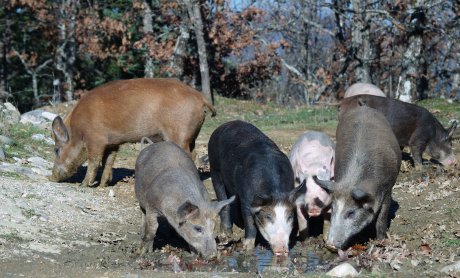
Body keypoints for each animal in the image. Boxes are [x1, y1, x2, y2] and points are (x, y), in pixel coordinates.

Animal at [50, 78, 216, 187]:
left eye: (56, 150)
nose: (51, 177)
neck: (78, 131)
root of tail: (201, 97)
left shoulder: (95, 140)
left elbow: (94, 161)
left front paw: (84, 185)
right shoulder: (113, 143)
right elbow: (108, 161)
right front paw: (103, 185)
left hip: (179, 133)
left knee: (189, 155)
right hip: (191, 136)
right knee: (194, 153)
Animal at [208, 120, 306, 255]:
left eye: (290, 216)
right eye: (268, 216)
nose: (282, 249)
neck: (275, 191)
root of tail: (224, 125)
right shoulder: (246, 198)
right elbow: (249, 222)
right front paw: (247, 248)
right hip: (214, 167)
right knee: (222, 197)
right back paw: (226, 235)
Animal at [314, 105, 400, 251]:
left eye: (351, 212)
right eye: (333, 209)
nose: (330, 244)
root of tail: (364, 107)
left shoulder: (387, 189)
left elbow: (381, 219)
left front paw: (380, 241)